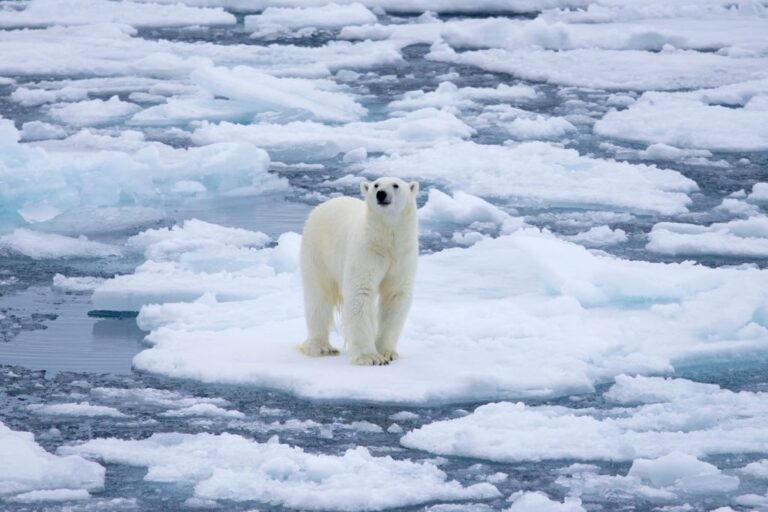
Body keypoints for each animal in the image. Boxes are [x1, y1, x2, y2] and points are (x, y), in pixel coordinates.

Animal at [299, 177, 419, 365]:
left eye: (396, 185)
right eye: (376, 185)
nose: (381, 194)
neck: (386, 241)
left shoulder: (403, 255)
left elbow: (395, 295)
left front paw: (386, 352)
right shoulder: (366, 251)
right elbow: (360, 291)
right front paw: (370, 357)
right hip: (318, 251)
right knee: (318, 296)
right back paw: (321, 347)